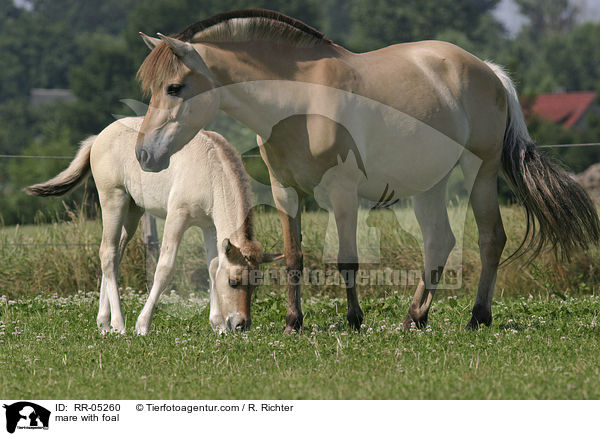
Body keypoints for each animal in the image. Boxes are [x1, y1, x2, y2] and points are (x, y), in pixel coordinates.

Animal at [27, 116, 280, 334]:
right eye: (233, 282)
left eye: (256, 284)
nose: (241, 324)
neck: (211, 170)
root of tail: (100, 136)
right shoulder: (176, 217)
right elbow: (164, 269)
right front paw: (142, 325)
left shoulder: (209, 226)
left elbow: (213, 266)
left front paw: (217, 325)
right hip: (113, 200)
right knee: (107, 253)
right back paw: (118, 324)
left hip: (132, 211)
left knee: (115, 254)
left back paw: (104, 323)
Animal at [134, 9, 596, 330]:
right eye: (151, 89)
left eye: (174, 87)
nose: (143, 154)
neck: (297, 101)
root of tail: (491, 72)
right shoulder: (286, 191)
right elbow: (294, 256)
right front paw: (293, 323)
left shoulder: (341, 192)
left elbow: (347, 259)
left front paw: (355, 321)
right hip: (430, 183)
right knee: (439, 242)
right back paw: (414, 318)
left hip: (479, 172)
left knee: (490, 239)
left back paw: (477, 316)